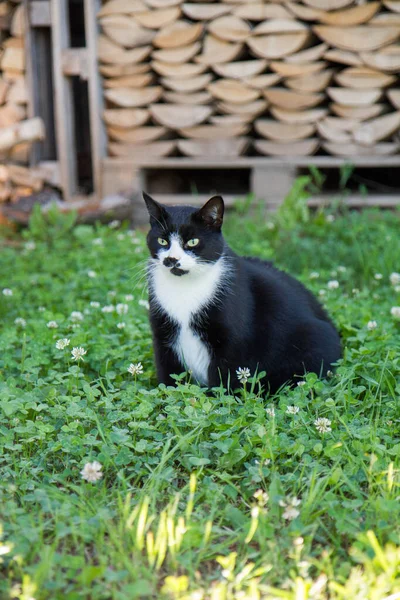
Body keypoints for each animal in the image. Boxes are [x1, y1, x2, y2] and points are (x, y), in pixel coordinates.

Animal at [142, 192, 340, 394]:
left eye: (193, 241)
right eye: (162, 241)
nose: (171, 259)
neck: (184, 288)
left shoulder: (232, 340)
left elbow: (223, 378)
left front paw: (217, 399)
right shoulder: (162, 334)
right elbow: (168, 374)